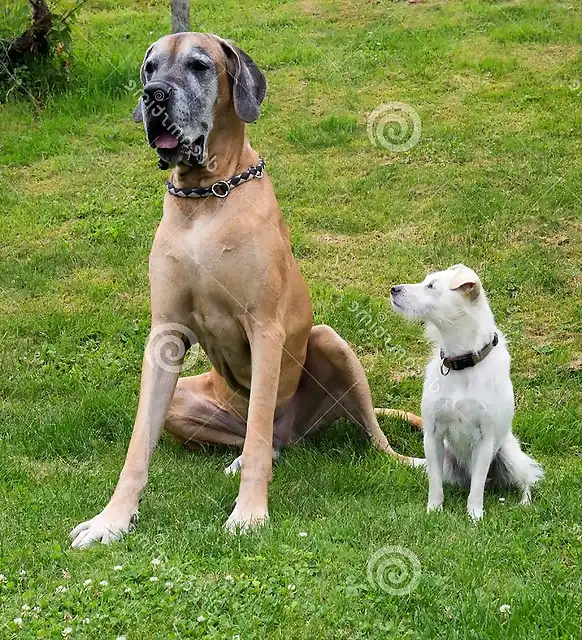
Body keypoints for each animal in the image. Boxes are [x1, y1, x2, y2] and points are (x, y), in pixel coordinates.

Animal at [390, 264, 544, 520]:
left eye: (431, 285)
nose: (393, 289)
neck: (460, 363)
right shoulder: (432, 436)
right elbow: (435, 484)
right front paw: (434, 510)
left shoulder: (484, 440)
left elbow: (477, 487)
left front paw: (474, 516)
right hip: (447, 461)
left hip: (510, 455)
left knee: (525, 481)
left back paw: (524, 503)